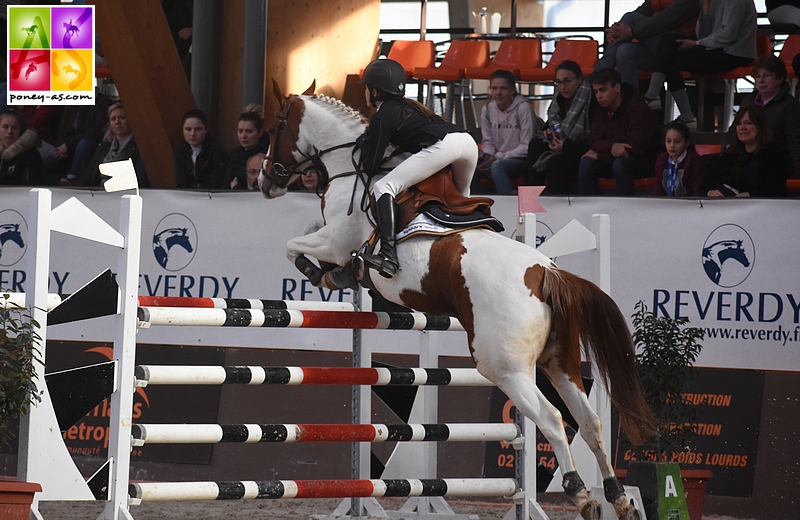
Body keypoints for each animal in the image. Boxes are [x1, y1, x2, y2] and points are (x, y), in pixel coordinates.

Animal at [260, 83, 652, 516]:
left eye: (275, 126)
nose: (265, 180)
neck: (349, 164)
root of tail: (544, 272)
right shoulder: (331, 238)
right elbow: (305, 234)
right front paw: (336, 274)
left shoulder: (335, 240)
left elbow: (294, 246)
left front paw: (324, 273)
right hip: (559, 362)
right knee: (590, 422)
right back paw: (619, 498)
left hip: (506, 368)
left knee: (552, 419)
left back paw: (582, 493)